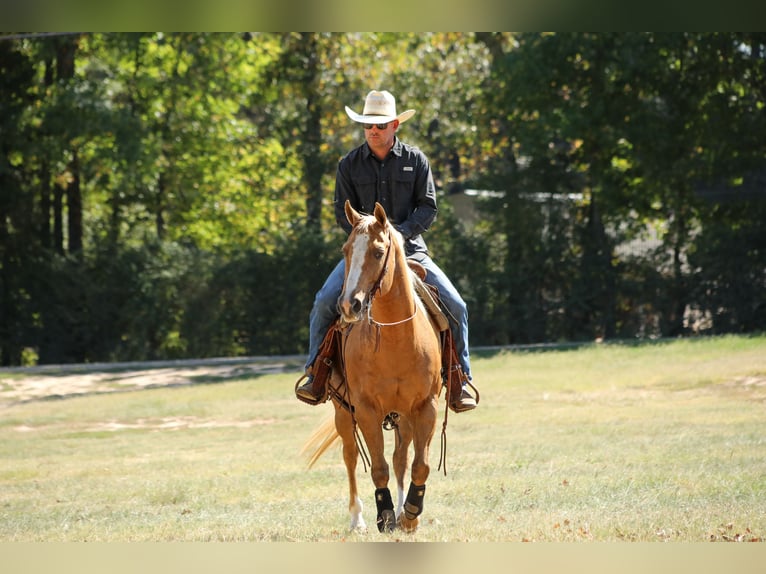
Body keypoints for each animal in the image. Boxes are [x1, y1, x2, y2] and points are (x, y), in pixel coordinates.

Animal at [304, 202, 440, 536]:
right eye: (346, 250)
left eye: (379, 252)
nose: (349, 305)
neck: (395, 339)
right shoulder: (365, 409)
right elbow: (378, 468)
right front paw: (386, 515)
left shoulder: (425, 406)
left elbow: (419, 464)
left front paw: (410, 514)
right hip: (343, 411)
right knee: (351, 456)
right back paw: (357, 519)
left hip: (403, 414)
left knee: (401, 458)